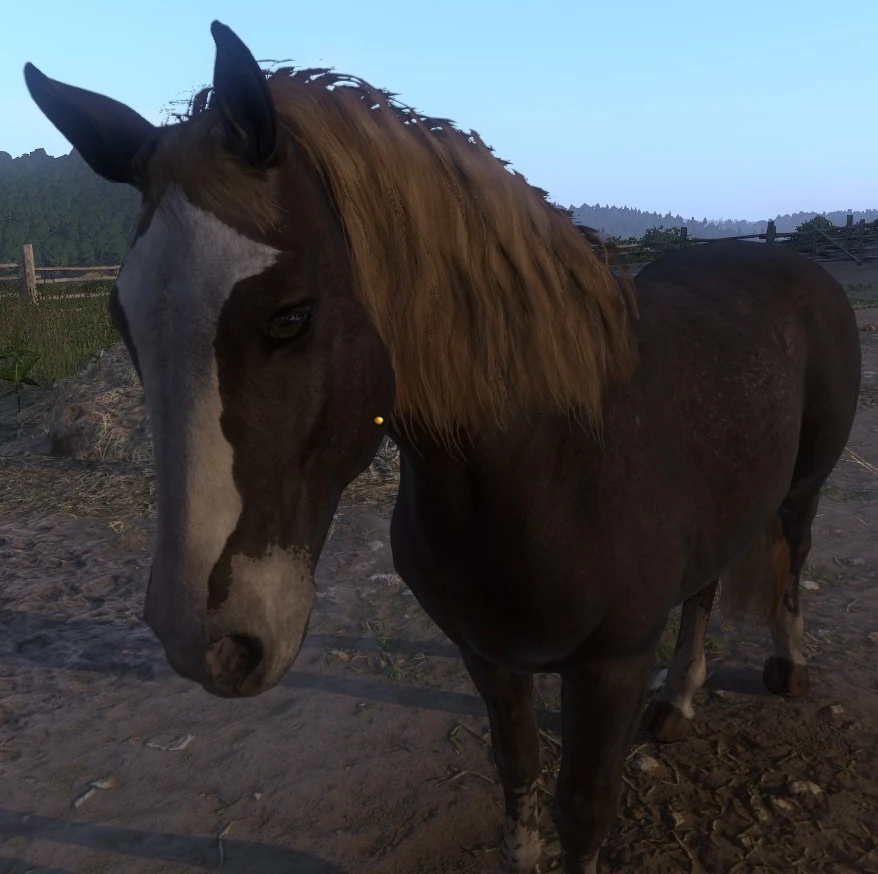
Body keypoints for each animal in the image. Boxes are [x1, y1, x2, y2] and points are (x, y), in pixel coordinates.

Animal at [25, 21, 861, 874]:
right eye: (123, 322)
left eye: (290, 317)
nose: (207, 643)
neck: (555, 462)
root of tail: (789, 260)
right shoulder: (486, 652)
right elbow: (517, 771)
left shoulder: (612, 665)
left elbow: (584, 810)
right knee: (705, 588)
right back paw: (681, 701)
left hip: (805, 485)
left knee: (792, 551)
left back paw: (787, 666)